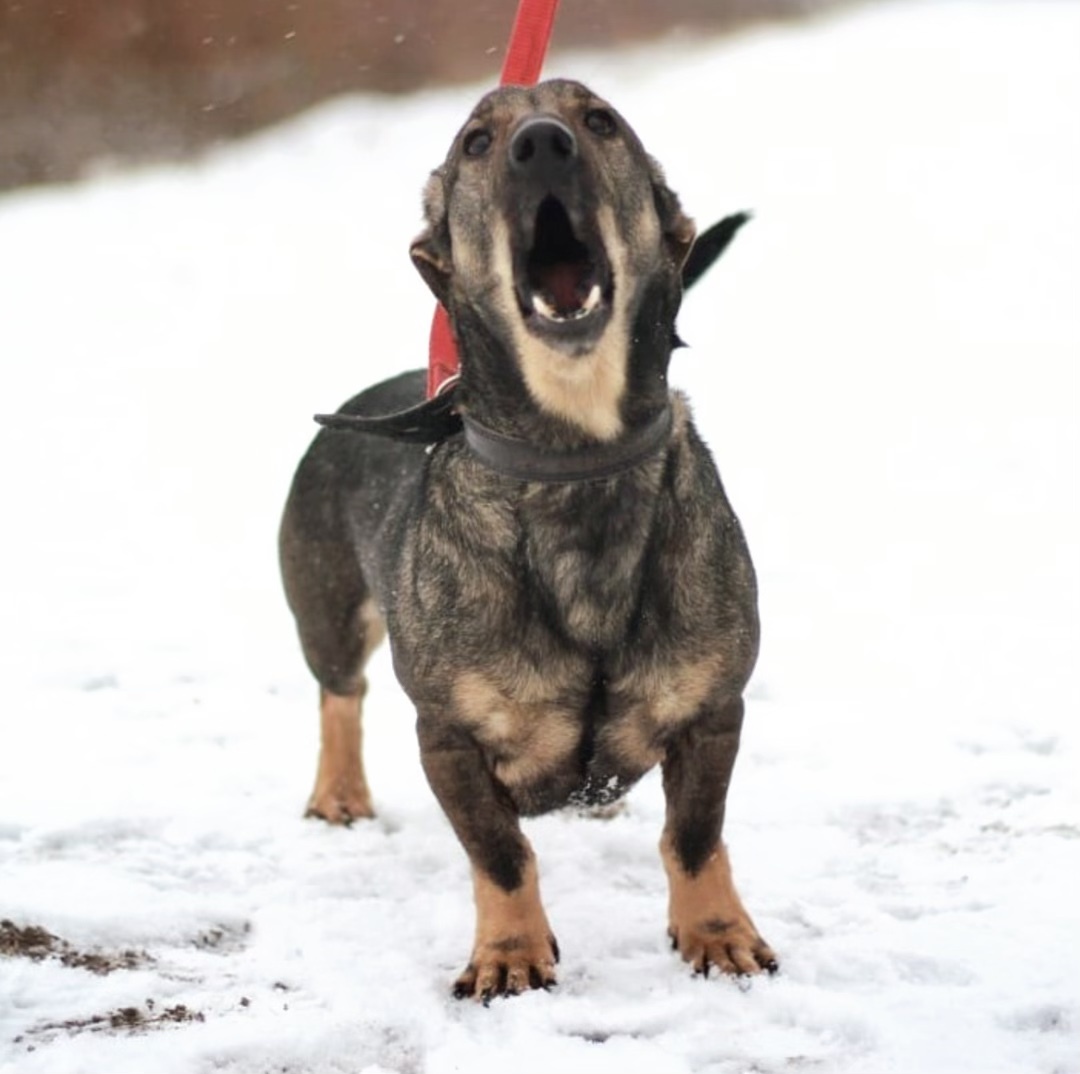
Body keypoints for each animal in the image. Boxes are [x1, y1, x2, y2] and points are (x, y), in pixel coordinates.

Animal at [278, 77, 777, 998]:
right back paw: (339, 796)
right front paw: (508, 954)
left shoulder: (713, 709)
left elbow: (694, 837)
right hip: (325, 610)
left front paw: (717, 935)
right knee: (339, 695)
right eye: (476, 141)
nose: (540, 144)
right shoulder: (448, 738)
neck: (574, 457)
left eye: (600, 120)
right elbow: (501, 853)